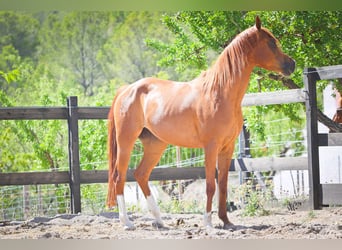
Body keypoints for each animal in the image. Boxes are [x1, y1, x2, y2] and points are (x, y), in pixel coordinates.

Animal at [106, 16, 294, 230]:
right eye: (271, 43)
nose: (292, 64)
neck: (219, 93)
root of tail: (127, 89)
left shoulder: (227, 148)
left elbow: (223, 185)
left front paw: (226, 221)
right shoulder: (211, 147)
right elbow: (210, 185)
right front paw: (209, 223)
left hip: (155, 144)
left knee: (141, 175)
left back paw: (159, 220)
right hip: (126, 142)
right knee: (119, 177)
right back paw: (127, 222)